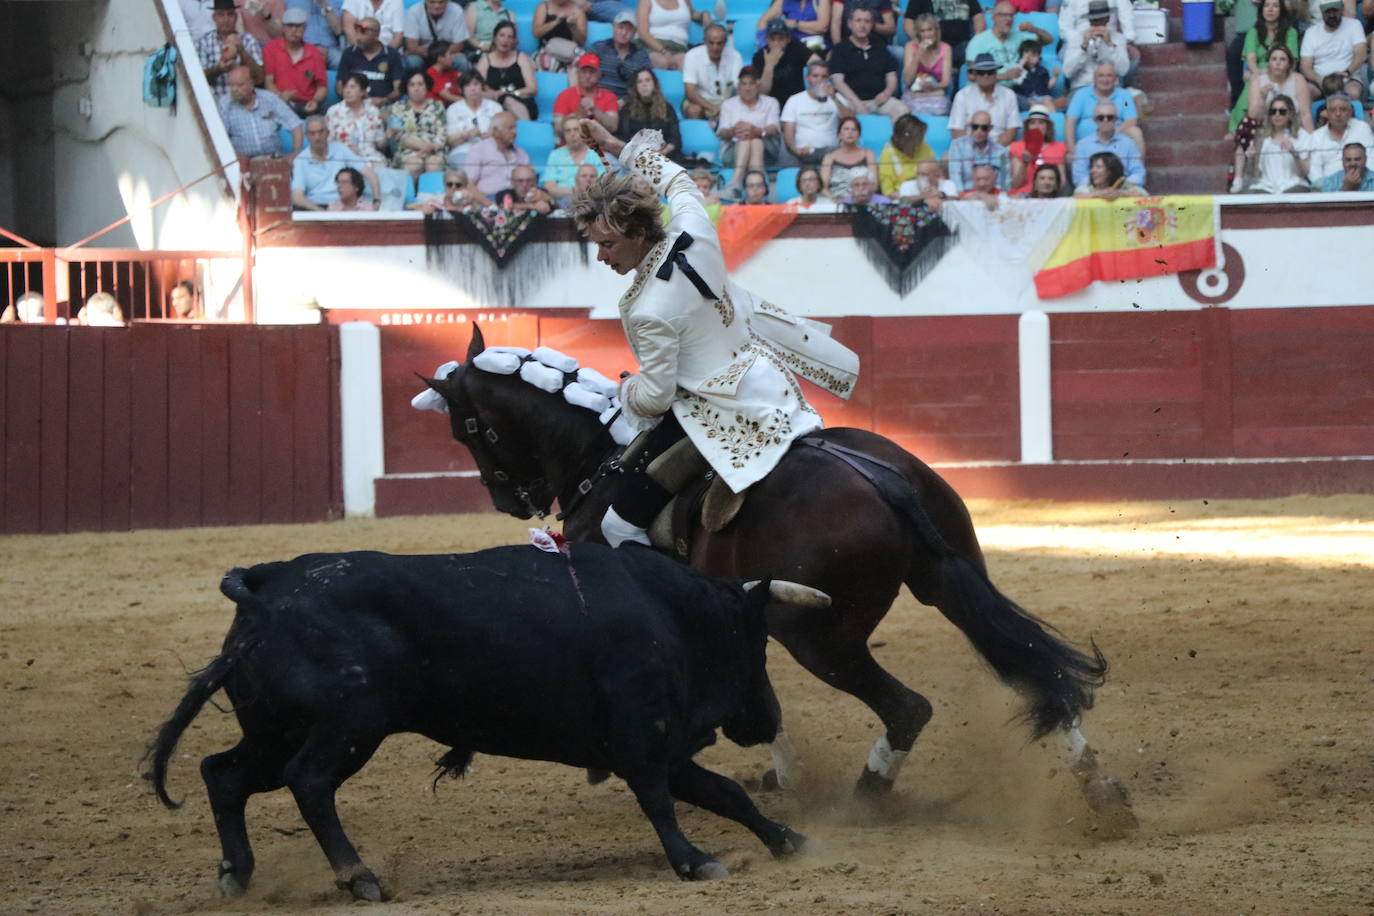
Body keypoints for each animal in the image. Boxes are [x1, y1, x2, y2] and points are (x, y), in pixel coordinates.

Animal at [155, 543, 829, 900]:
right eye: (759, 642)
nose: (766, 720)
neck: (669, 610)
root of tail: (267, 583)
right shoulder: (642, 742)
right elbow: (662, 803)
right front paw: (692, 860)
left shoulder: (662, 747)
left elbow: (726, 793)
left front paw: (789, 840)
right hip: (348, 727)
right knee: (310, 783)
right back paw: (360, 877)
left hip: (272, 730)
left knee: (222, 774)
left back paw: (236, 875)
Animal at [425, 328, 1137, 823]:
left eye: (469, 429)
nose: (508, 500)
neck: (600, 458)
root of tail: (878, 479)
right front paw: (779, 774)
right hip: (949, 583)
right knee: (1035, 671)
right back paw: (1103, 790)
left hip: (821, 638)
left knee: (909, 707)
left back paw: (863, 801)